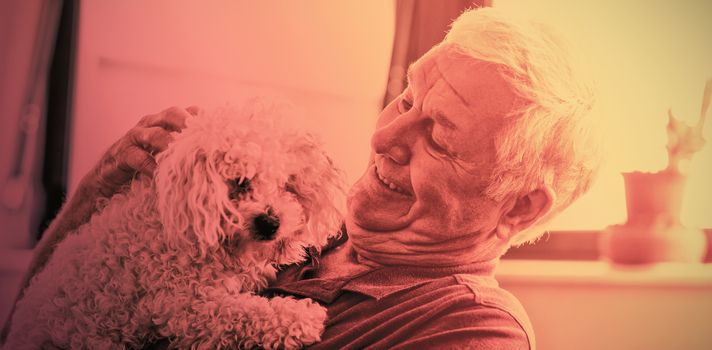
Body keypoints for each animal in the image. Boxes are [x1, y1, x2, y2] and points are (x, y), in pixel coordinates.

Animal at [5, 100, 344, 348]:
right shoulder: (186, 305)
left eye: (288, 184)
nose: (270, 223)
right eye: (240, 181)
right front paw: (298, 317)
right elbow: (242, 313)